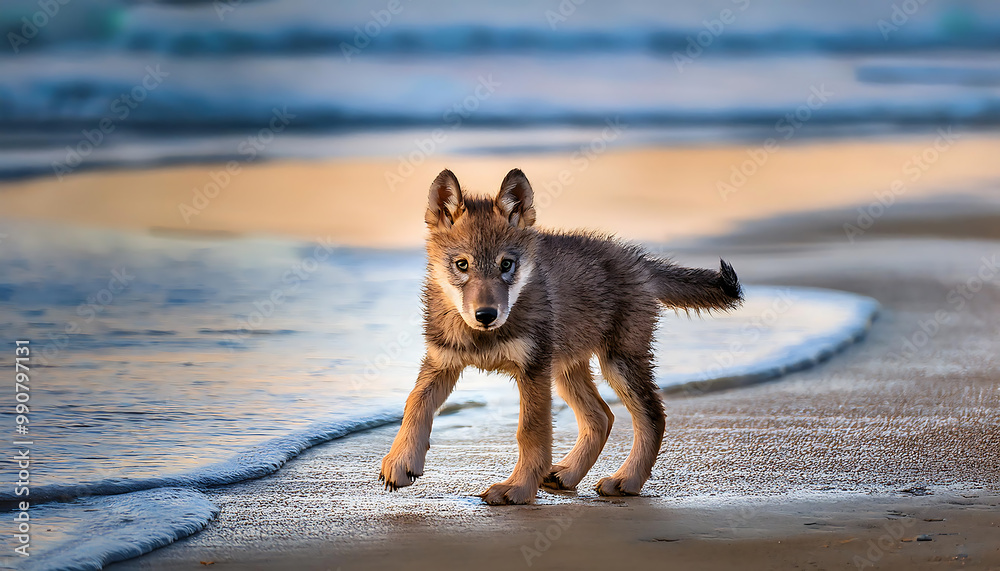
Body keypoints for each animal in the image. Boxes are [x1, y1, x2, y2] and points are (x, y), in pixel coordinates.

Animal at [379, 168, 743, 505]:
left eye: (506, 265)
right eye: (462, 264)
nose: (486, 315)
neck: (483, 337)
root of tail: (637, 260)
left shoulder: (533, 370)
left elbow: (530, 432)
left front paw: (517, 489)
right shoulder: (442, 362)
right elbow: (415, 404)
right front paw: (400, 461)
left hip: (616, 364)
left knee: (652, 416)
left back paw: (626, 480)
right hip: (567, 368)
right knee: (602, 417)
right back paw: (567, 475)